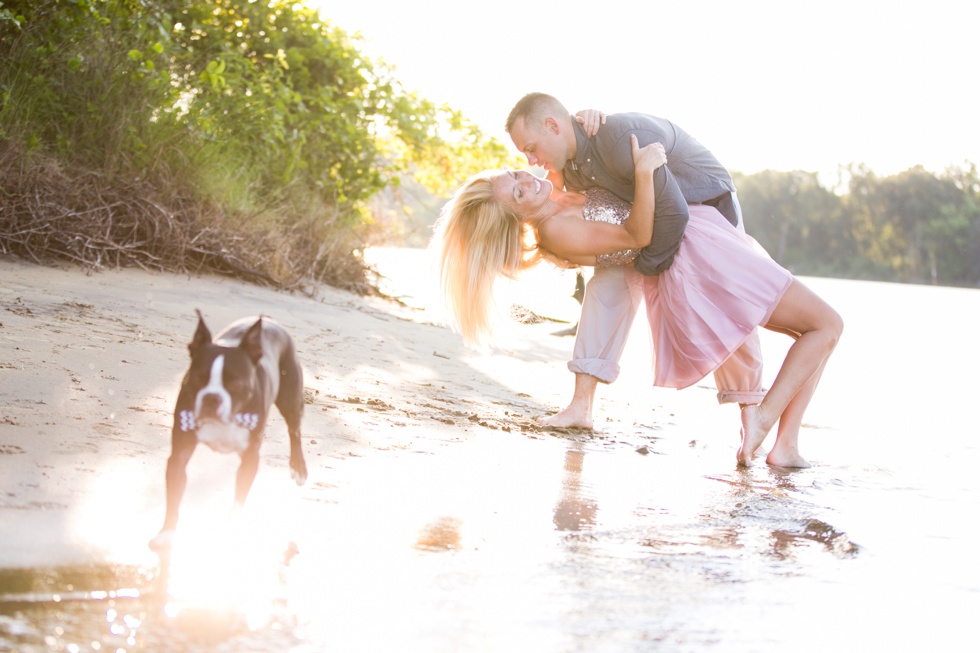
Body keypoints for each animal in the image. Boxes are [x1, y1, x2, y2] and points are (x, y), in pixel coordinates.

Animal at [150, 310, 306, 552]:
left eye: (236, 385)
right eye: (197, 378)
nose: (211, 398)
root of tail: (271, 322)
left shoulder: (250, 459)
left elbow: (239, 497)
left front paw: (229, 530)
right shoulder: (179, 455)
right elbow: (174, 497)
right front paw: (167, 533)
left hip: (290, 397)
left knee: (294, 430)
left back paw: (298, 467)